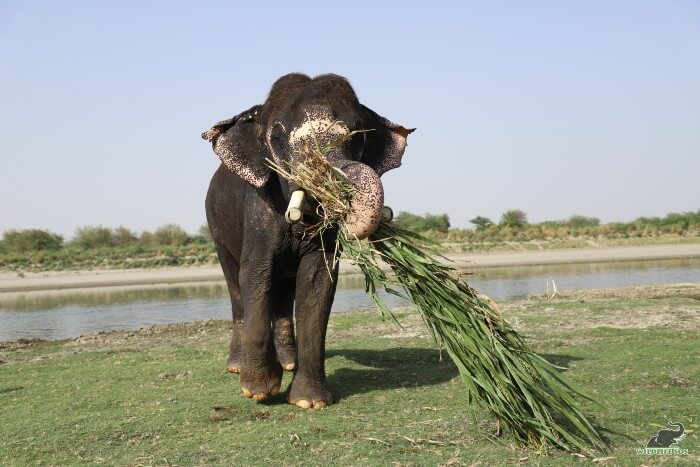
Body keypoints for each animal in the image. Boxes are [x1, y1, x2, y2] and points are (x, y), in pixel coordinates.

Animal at [200, 73, 412, 410]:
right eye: (276, 137)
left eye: (358, 136)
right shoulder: (259, 206)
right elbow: (256, 274)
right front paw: (258, 391)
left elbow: (317, 281)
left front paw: (308, 402)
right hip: (216, 227)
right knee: (235, 285)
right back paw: (236, 367)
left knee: (284, 291)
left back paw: (288, 363)